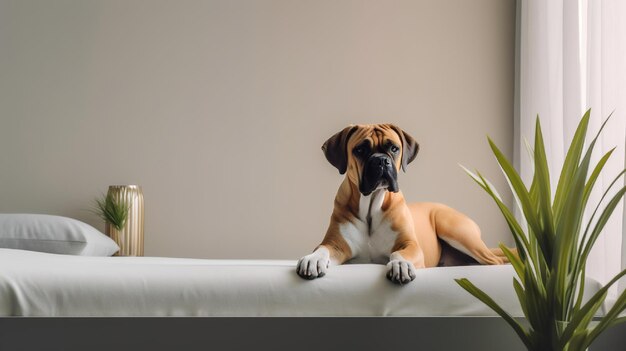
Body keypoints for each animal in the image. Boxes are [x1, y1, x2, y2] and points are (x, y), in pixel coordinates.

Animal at [296, 125, 508, 284]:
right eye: (360, 150)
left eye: (394, 148)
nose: (381, 161)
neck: (371, 206)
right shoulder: (336, 245)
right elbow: (322, 249)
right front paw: (312, 260)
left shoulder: (410, 245)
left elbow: (399, 253)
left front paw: (400, 266)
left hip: (456, 231)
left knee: (496, 261)